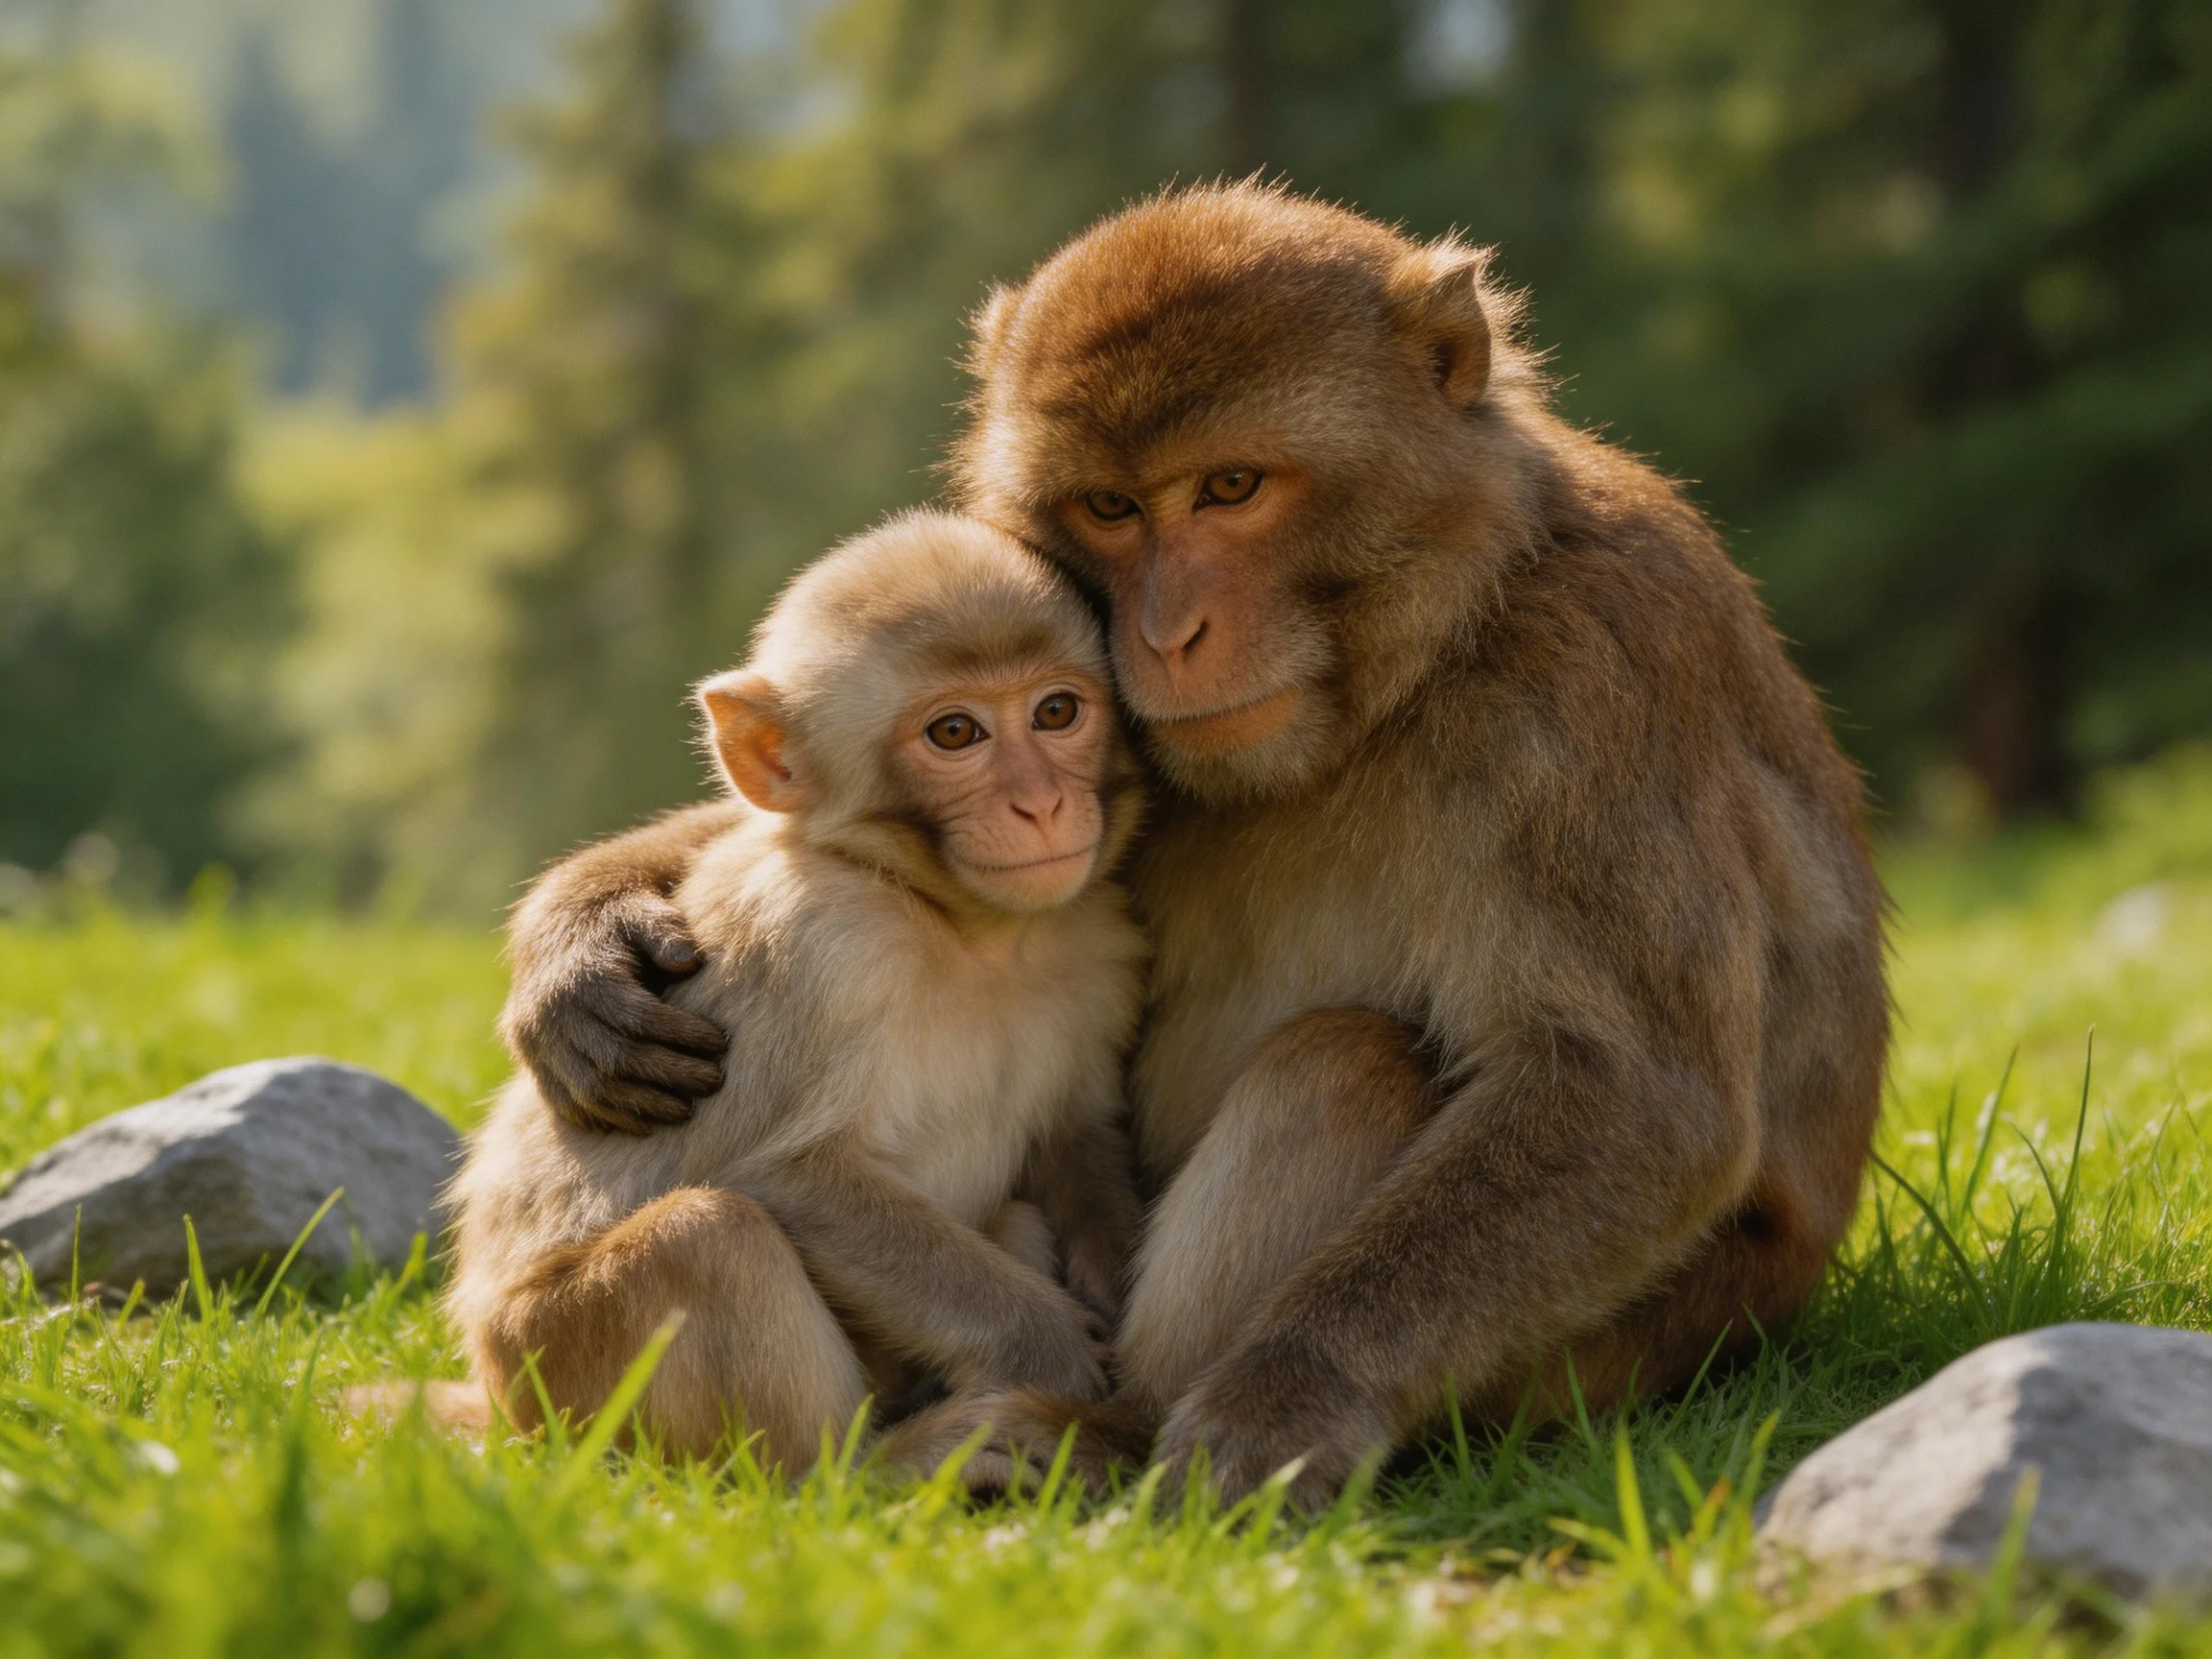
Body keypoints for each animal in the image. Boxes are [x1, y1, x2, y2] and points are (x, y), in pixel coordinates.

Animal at [439, 509, 1148, 1473]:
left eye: (1057, 712)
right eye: (955, 734)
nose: (1040, 804)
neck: (969, 930)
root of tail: (492, 1387)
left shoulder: (1099, 948)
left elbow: (1076, 1135)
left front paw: (1113, 1287)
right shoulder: (817, 945)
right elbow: (786, 1174)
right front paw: (1059, 1358)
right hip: (553, 1366)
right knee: (712, 1236)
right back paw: (876, 1472)